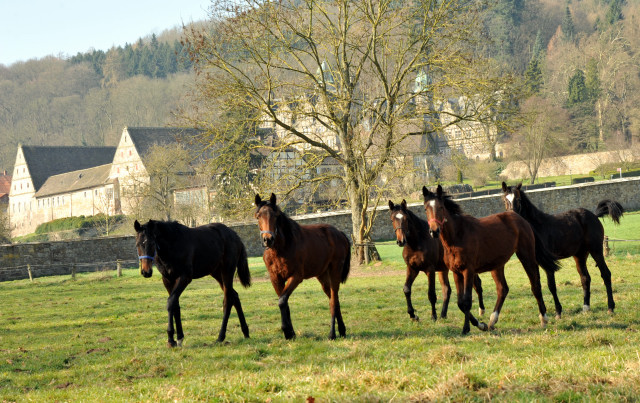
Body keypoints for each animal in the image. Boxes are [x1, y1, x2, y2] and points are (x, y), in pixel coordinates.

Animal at [134, 219, 251, 348]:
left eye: (152, 243)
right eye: (137, 244)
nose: (146, 272)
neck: (172, 244)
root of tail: (235, 236)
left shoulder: (185, 277)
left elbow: (170, 302)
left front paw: (171, 339)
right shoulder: (168, 279)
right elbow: (175, 305)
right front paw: (179, 338)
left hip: (227, 271)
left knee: (228, 301)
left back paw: (220, 337)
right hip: (216, 273)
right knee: (234, 295)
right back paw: (245, 332)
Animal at [254, 194, 350, 340]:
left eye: (275, 216)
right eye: (258, 216)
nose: (268, 239)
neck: (282, 247)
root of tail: (339, 233)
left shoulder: (296, 277)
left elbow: (282, 301)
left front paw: (287, 331)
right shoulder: (276, 279)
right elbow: (284, 303)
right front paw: (291, 333)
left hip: (335, 272)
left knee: (333, 302)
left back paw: (332, 334)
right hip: (323, 276)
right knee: (335, 300)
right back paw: (342, 330)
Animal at [422, 186, 556, 334]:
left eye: (440, 207)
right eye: (425, 208)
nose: (434, 231)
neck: (457, 237)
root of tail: (521, 219)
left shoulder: (468, 271)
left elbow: (466, 301)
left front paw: (469, 328)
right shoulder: (456, 272)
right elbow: (460, 303)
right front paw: (481, 325)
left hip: (526, 256)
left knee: (535, 285)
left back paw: (543, 318)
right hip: (497, 265)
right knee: (503, 289)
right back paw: (492, 321)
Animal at [500, 183, 624, 316]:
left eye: (518, 200)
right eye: (505, 200)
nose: (512, 217)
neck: (537, 228)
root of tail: (594, 216)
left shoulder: (548, 264)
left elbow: (551, 286)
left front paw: (558, 311)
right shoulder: (535, 262)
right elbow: (537, 285)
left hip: (596, 251)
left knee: (606, 274)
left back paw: (610, 307)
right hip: (580, 255)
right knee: (585, 278)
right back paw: (586, 307)